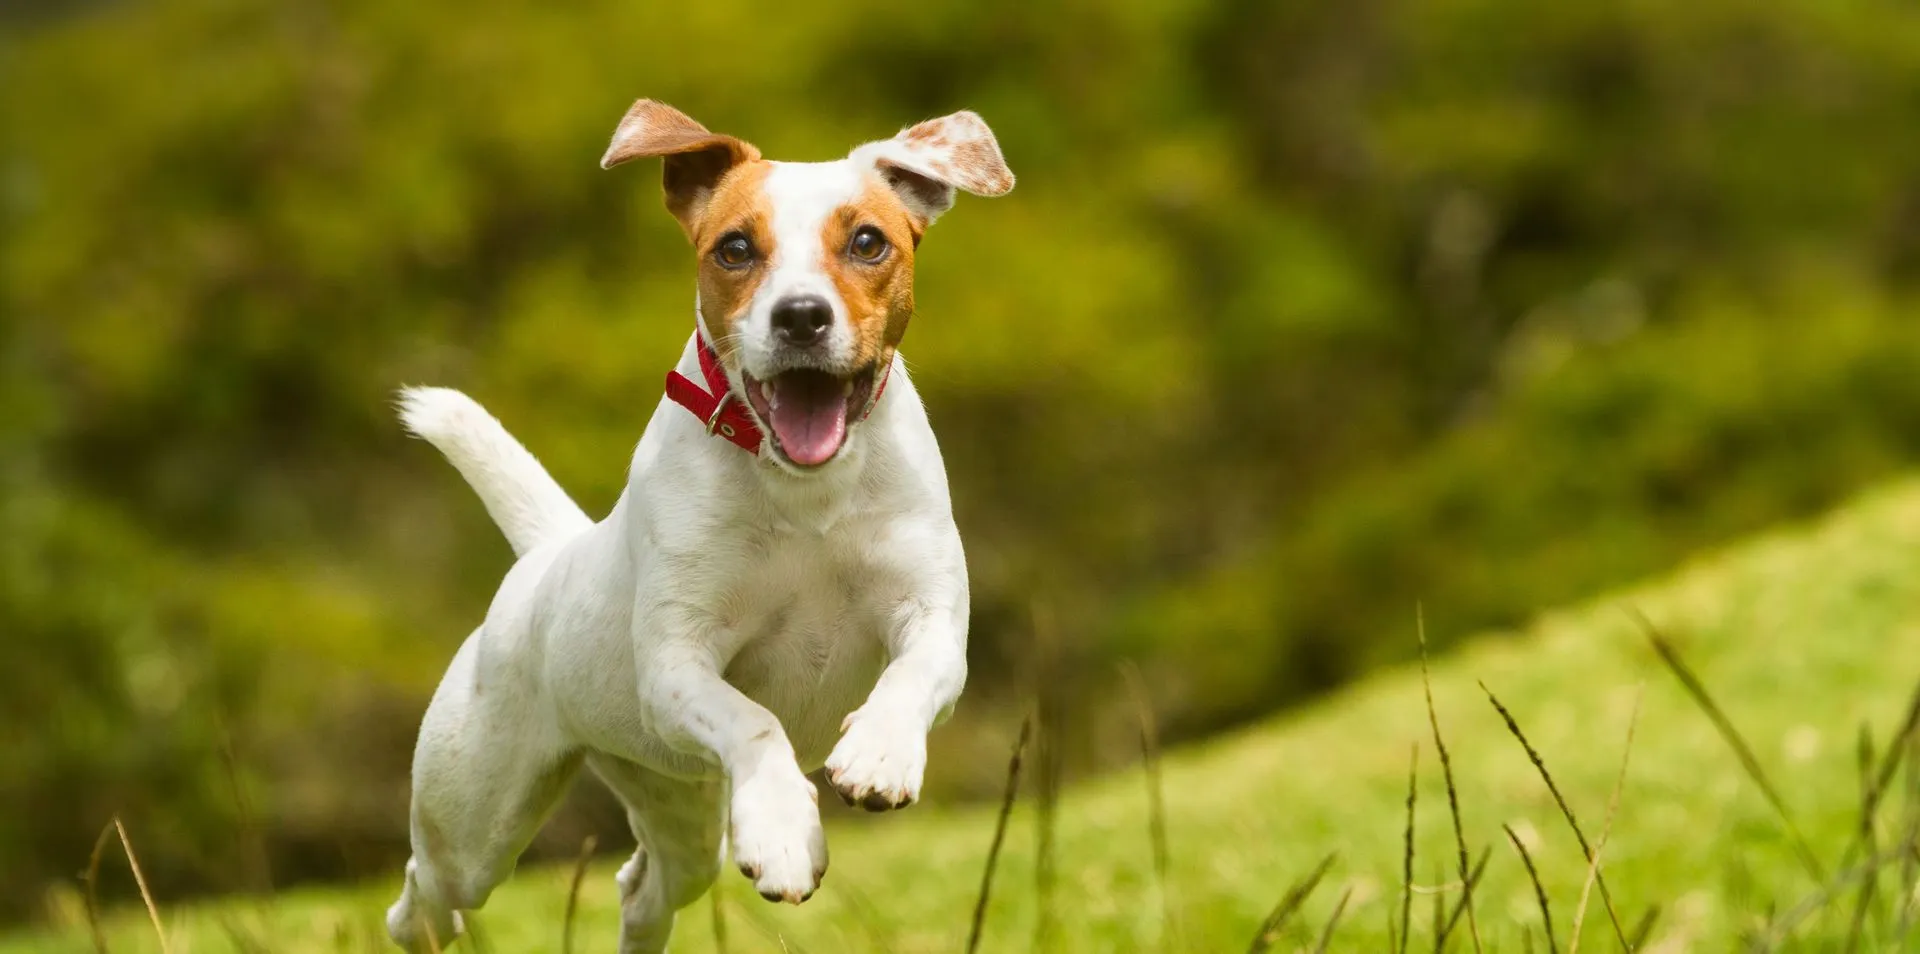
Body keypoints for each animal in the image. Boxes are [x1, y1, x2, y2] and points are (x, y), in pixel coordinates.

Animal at [384, 100, 1021, 948]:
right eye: (735, 248)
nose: (801, 316)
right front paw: (782, 830)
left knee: (641, 888)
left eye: (867, 241)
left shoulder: (932, 616)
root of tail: (546, 555)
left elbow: (913, 674)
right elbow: (754, 722)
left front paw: (879, 754)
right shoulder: (676, 664)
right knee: (426, 893)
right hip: (474, 820)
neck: (805, 494)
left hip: (674, 802)